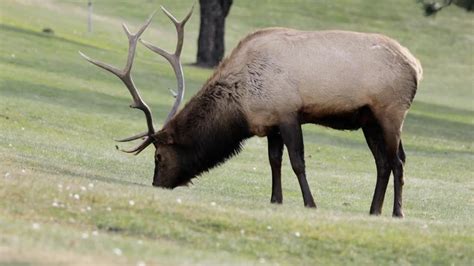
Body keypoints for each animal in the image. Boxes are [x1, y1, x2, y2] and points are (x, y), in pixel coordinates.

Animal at [80, 5, 422, 218]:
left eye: (159, 157)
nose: (156, 185)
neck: (242, 104)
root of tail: (416, 66)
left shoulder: (288, 112)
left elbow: (297, 161)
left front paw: (310, 204)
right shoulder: (271, 123)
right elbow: (275, 161)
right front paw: (275, 200)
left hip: (391, 112)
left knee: (398, 161)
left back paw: (397, 212)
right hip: (369, 120)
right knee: (383, 162)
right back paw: (374, 210)